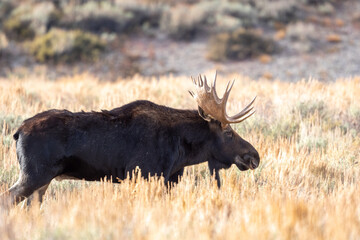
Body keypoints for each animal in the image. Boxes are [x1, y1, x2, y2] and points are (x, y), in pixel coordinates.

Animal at [0, 75, 258, 206]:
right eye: (228, 133)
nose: (253, 156)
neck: (181, 150)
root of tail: (18, 131)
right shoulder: (143, 173)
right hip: (34, 175)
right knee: (8, 199)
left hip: (42, 182)